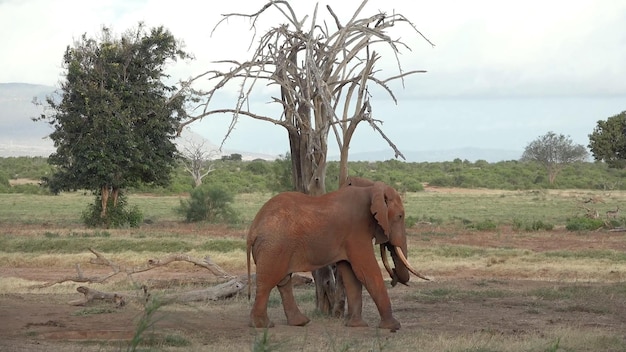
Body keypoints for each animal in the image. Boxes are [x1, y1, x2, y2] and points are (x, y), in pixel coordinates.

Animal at [246, 180, 426, 332]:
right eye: (400, 216)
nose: (394, 274)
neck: (370, 188)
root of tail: (253, 228)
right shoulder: (356, 231)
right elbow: (366, 270)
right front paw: (393, 326)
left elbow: (350, 274)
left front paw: (356, 325)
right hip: (274, 246)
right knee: (268, 282)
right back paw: (263, 325)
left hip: (276, 248)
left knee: (283, 281)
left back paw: (300, 323)